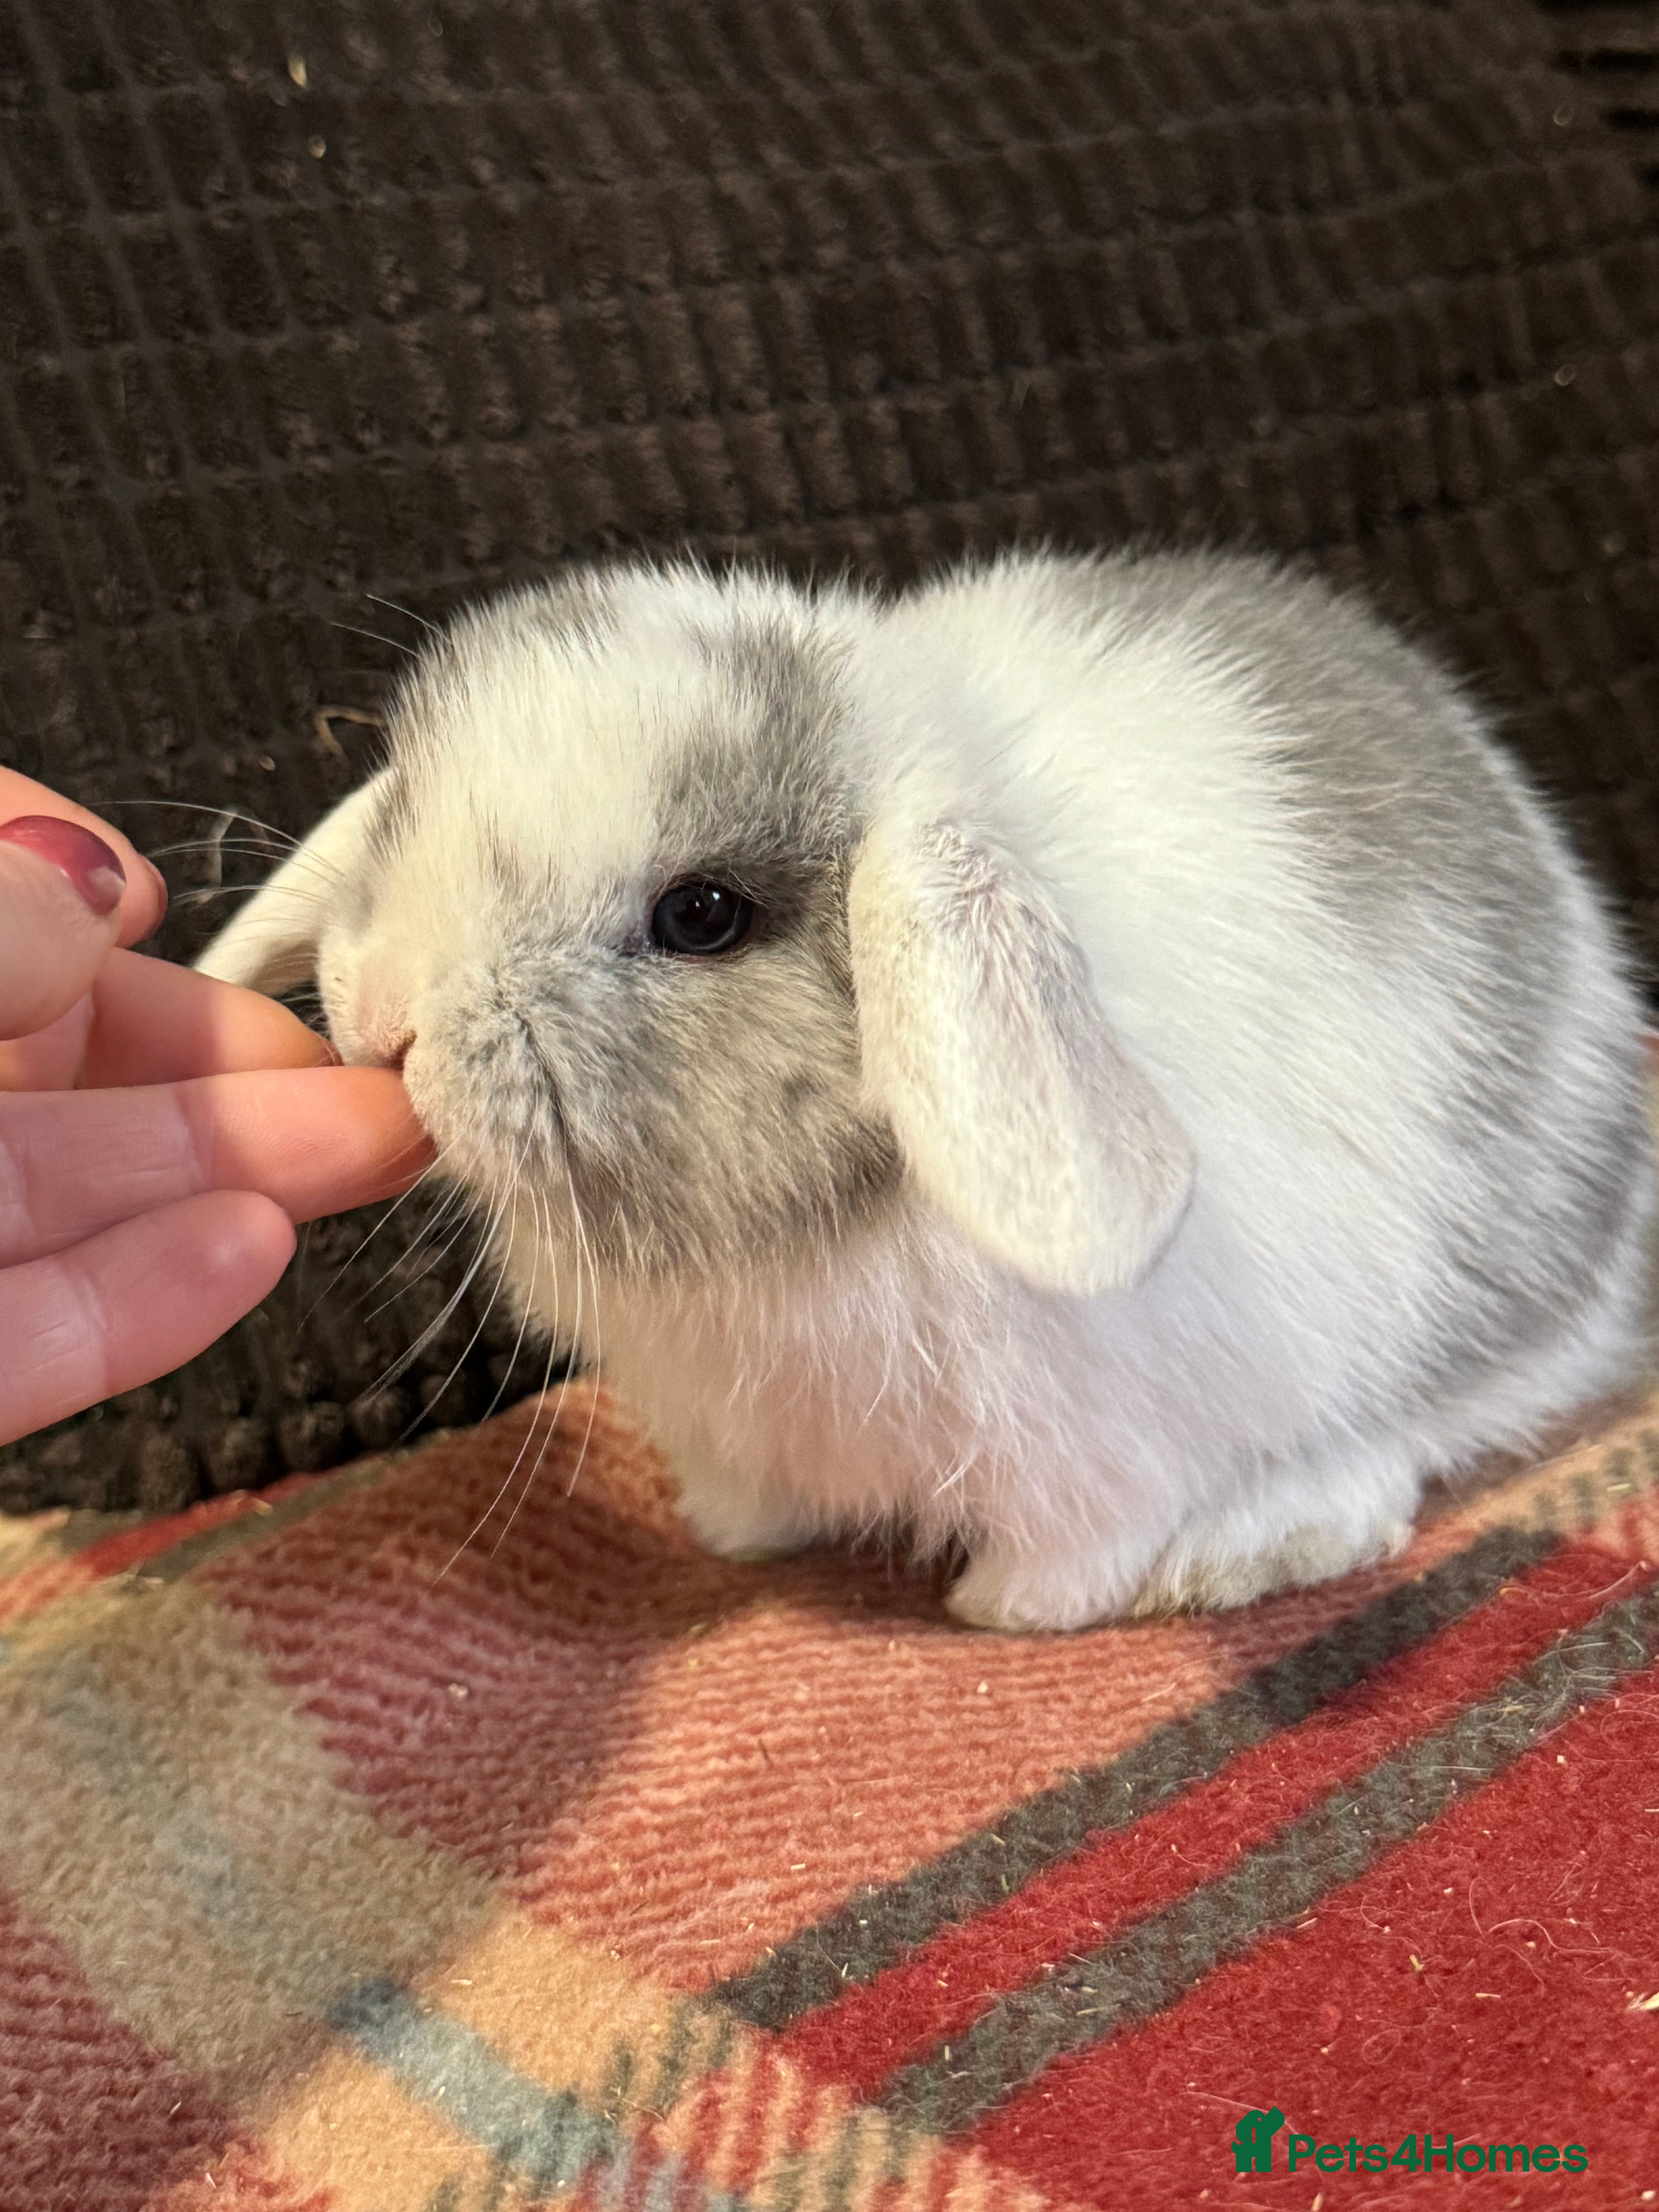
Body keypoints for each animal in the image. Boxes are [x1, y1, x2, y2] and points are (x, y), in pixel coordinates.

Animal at [197, 550, 1656, 1630]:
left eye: (703, 915)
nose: (385, 1018)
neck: (802, 1227)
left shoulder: (1094, 1453)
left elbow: (1078, 1544)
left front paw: (1009, 1610)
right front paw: (735, 1535)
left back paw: (1253, 1542)